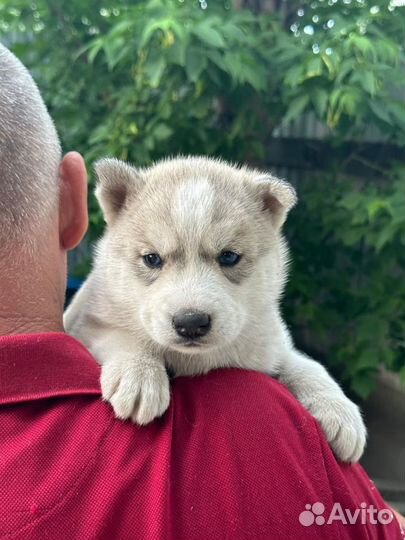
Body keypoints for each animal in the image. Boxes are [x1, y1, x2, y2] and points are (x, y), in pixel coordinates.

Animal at [64, 154, 366, 462]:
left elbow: (305, 365)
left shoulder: (269, 347)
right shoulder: (89, 322)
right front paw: (138, 375)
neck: (194, 359)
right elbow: (124, 336)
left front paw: (340, 411)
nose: (191, 322)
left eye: (229, 257)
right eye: (152, 259)